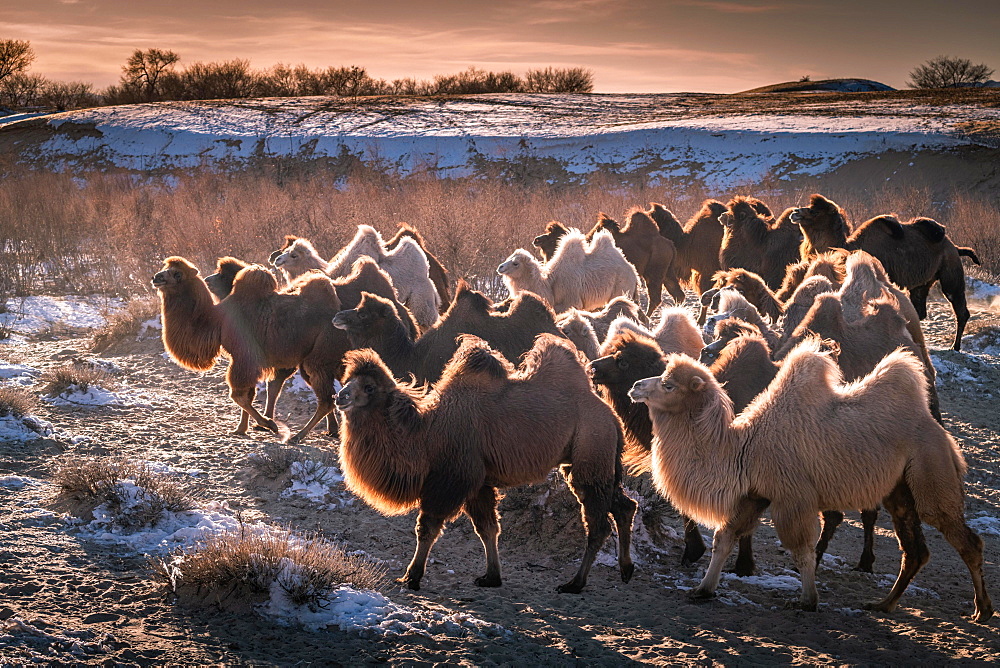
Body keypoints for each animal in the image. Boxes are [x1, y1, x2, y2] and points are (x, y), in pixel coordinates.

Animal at [152, 258, 346, 440]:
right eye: (165, 269)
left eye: (177, 274)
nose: (156, 278)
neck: (216, 321)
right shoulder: (245, 360)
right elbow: (248, 394)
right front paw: (241, 429)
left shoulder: (243, 357)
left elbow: (238, 395)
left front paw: (268, 424)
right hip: (317, 361)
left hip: (318, 357)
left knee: (326, 400)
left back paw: (299, 436)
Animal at [334, 336, 632, 592]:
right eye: (347, 380)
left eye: (369, 387)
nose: (340, 397)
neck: (426, 434)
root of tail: (611, 415)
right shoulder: (478, 483)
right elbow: (488, 528)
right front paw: (491, 577)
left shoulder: (452, 479)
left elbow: (427, 528)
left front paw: (411, 577)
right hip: (592, 460)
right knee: (624, 505)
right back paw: (625, 570)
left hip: (592, 451)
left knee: (598, 524)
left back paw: (575, 584)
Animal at [500, 228, 640, 314]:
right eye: (509, 257)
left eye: (516, 263)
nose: (500, 267)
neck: (550, 284)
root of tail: (633, 272)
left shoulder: (571, 302)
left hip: (621, 287)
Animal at [628, 342, 988, 624]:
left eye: (669, 385)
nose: (636, 387)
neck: (743, 448)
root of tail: (938, 430)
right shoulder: (755, 494)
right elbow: (725, 537)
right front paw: (703, 589)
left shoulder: (792, 497)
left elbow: (802, 550)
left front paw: (808, 600)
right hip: (900, 491)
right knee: (914, 551)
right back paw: (883, 604)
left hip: (929, 469)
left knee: (963, 537)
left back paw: (982, 610)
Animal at [788, 193, 976, 350]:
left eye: (815, 211)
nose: (795, 212)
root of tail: (955, 247)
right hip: (923, 283)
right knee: (920, 308)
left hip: (951, 272)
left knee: (960, 308)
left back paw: (955, 347)